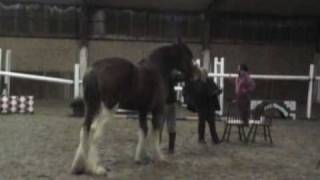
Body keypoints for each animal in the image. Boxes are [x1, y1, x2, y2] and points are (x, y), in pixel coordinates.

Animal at [70, 40, 195, 175]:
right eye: (188, 56)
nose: (194, 75)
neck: (157, 69)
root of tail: (94, 69)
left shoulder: (142, 110)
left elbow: (143, 130)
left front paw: (141, 158)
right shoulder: (157, 109)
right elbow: (155, 132)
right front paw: (159, 158)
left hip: (92, 107)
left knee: (85, 128)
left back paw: (78, 167)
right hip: (108, 108)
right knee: (95, 130)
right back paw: (96, 168)